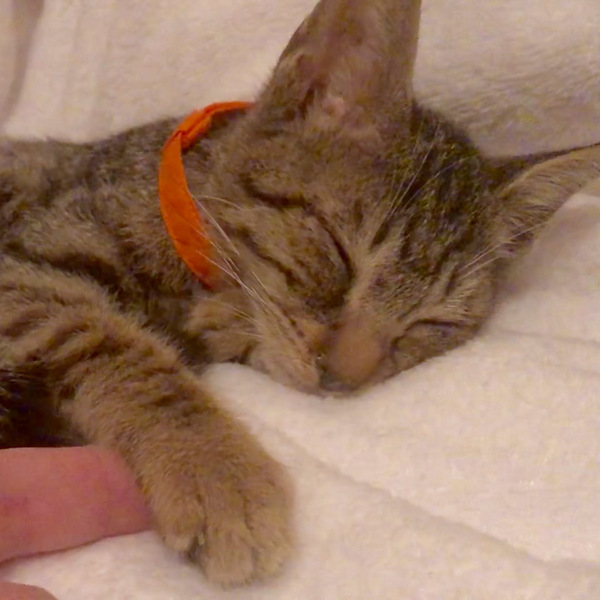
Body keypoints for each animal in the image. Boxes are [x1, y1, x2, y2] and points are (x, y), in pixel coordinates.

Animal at [1, 0, 600, 587]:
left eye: (432, 324)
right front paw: (215, 468)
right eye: (340, 256)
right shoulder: (21, 268)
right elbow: (112, 343)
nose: (342, 378)